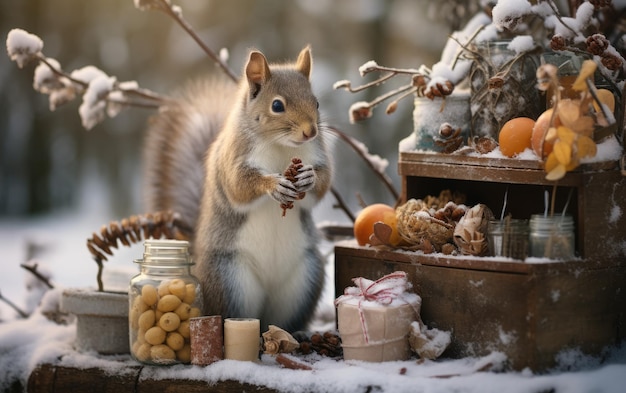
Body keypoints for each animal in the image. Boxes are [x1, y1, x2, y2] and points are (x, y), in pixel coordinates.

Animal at [144, 46, 334, 330]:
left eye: (317, 103)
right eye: (277, 105)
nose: (310, 132)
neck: (281, 145)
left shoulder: (316, 154)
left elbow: (320, 186)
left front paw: (308, 177)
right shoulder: (233, 159)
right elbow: (239, 186)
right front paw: (273, 184)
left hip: (305, 279)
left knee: (283, 320)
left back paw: (293, 334)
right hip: (230, 280)